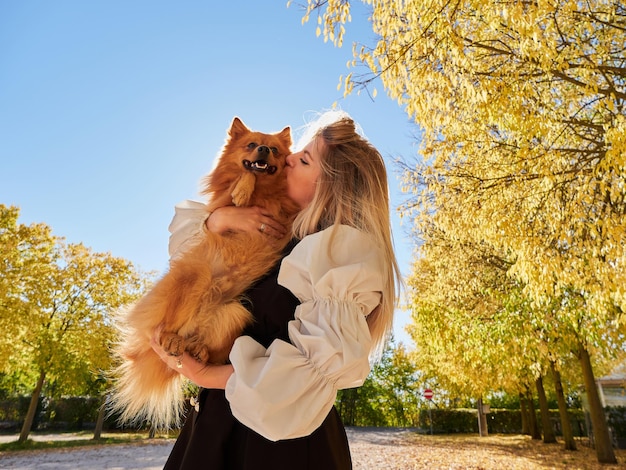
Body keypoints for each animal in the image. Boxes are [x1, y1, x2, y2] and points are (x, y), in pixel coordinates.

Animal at [108, 117, 298, 430]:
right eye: (251, 145)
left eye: (273, 150)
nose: (262, 150)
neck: (266, 193)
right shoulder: (221, 204)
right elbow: (239, 183)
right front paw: (242, 189)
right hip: (195, 275)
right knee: (170, 325)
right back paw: (171, 338)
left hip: (236, 312)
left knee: (207, 349)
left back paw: (197, 349)